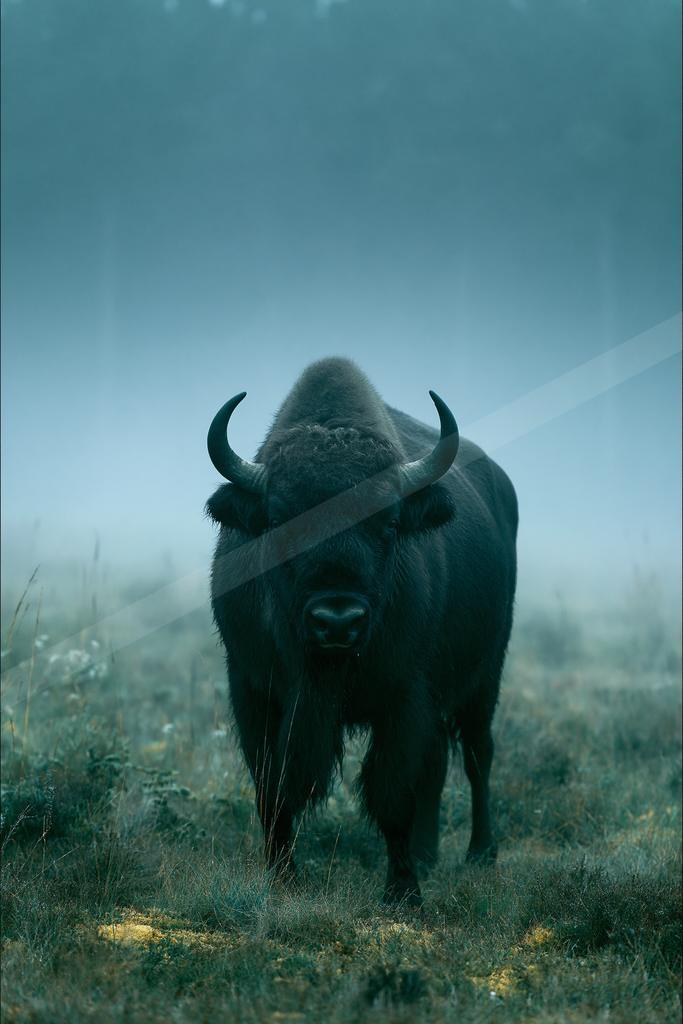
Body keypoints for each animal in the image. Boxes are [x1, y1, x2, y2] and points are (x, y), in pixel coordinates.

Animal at [206, 358, 517, 905]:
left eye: (388, 522)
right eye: (281, 520)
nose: (337, 621)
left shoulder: (406, 698)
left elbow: (393, 794)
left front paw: (403, 892)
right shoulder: (252, 690)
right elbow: (273, 787)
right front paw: (282, 878)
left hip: (485, 678)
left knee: (477, 755)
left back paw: (480, 852)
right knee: (439, 762)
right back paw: (428, 853)